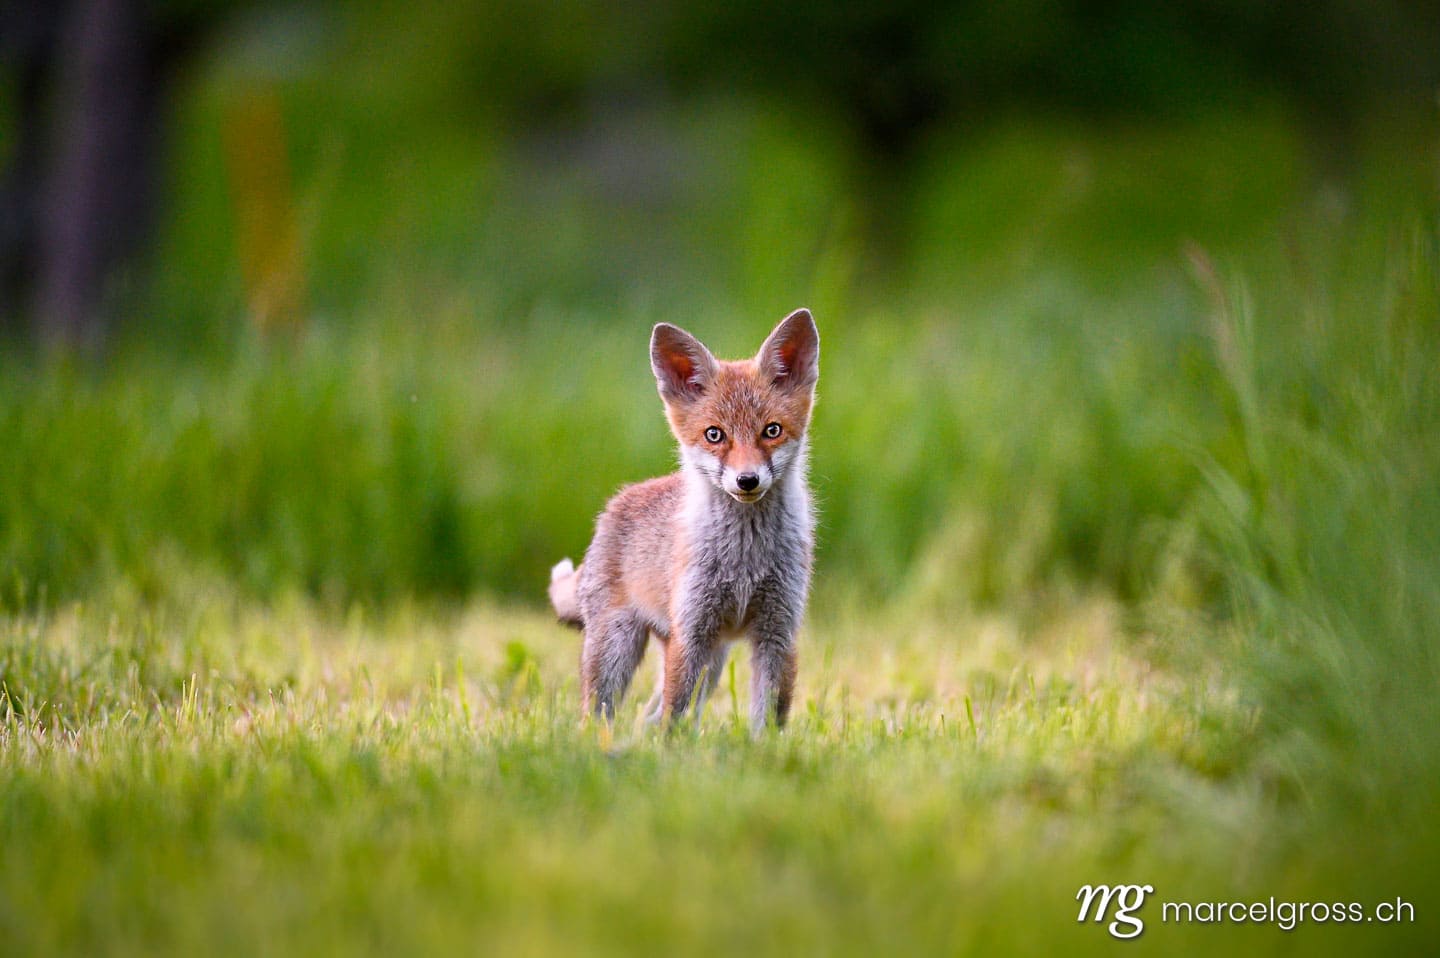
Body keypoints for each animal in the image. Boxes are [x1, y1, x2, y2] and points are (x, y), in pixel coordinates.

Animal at [548, 308, 819, 732]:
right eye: (714, 435)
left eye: (771, 431)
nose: (747, 480)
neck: (746, 560)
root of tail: (611, 508)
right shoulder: (692, 632)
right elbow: (673, 716)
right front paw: (670, 749)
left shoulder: (778, 631)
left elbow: (768, 719)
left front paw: (763, 751)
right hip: (619, 648)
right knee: (603, 713)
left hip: (713, 662)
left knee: (647, 715)